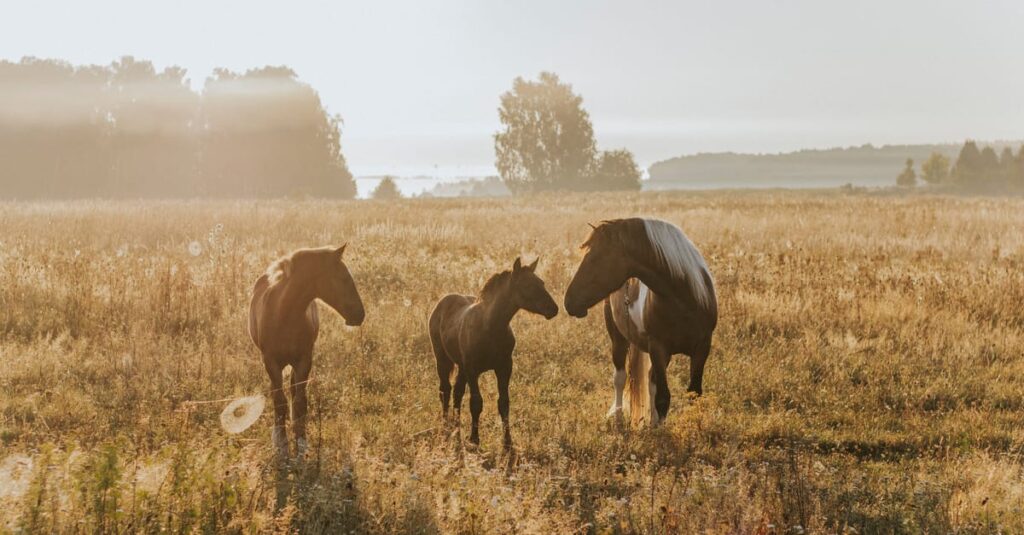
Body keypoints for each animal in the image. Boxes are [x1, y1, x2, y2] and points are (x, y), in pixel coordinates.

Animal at [249, 245, 365, 458]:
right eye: (344, 278)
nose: (360, 314)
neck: (284, 313)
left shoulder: (304, 360)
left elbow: (300, 401)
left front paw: (301, 442)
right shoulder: (271, 362)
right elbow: (279, 401)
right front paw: (282, 444)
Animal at [428, 257, 558, 448]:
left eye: (541, 282)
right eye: (527, 285)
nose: (553, 309)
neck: (490, 326)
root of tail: (443, 302)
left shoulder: (504, 367)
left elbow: (503, 403)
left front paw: (507, 442)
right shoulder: (473, 370)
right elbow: (476, 403)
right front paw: (474, 439)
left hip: (461, 366)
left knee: (457, 392)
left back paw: (456, 427)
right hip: (443, 359)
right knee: (445, 390)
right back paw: (446, 425)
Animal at [564, 218, 717, 426]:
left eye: (595, 258)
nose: (568, 301)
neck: (684, 300)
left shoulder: (702, 348)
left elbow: (694, 394)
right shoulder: (658, 348)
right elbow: (663, 397)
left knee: (651, 380)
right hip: (619, 340)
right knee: (620, 378)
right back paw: (619, 418)